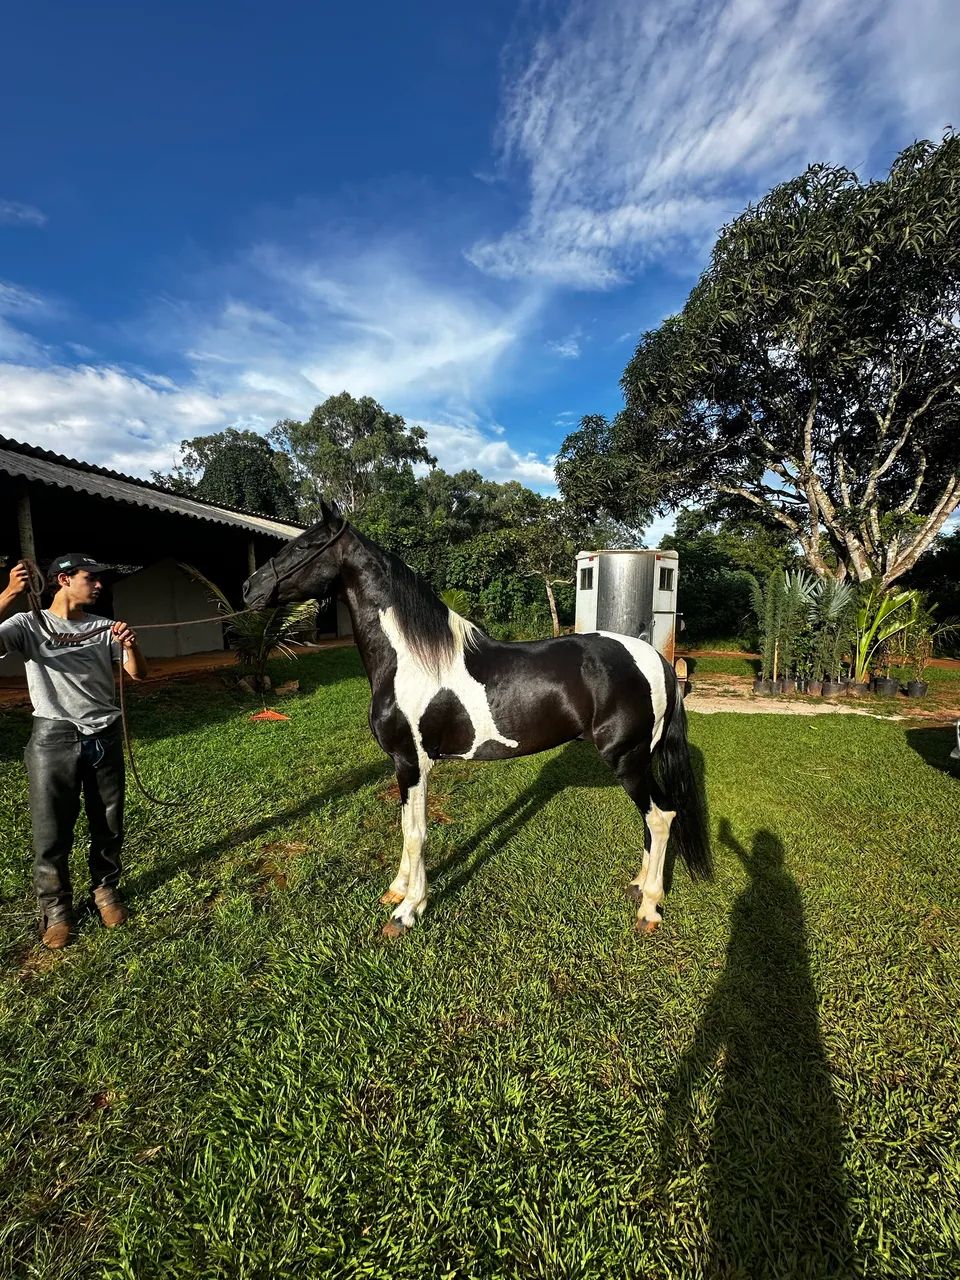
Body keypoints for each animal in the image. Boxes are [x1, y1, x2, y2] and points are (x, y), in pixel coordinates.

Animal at [242, 503, 712, 938]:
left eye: (304, 545)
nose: (249, 587)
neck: (411, 659)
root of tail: (653, 657)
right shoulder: (402, 765)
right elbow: (405, 826)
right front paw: (397, 890)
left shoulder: (413, 762)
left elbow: (417, 833)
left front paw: (408, 910)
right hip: (640, 761)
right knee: (653, 821)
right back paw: (638, 885)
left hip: (627, 761)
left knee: (661, 817)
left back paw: (649, 907)